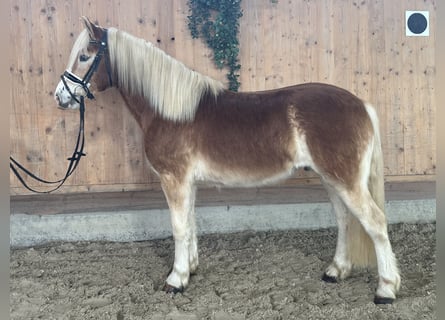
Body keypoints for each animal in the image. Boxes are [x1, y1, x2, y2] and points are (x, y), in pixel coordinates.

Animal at [54, 16, 398, 302]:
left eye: (84, 56)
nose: (60, 96)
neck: (170, 111)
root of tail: (360, 104)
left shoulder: (174, 179)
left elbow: (178, 228)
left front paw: (176, 280)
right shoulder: (187, 182)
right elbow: (190, 223)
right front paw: (190, 268)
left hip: (346, 181)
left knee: (375, 222)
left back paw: (386, 289)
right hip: (332, 179)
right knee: (345, 220)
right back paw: (336, 271)